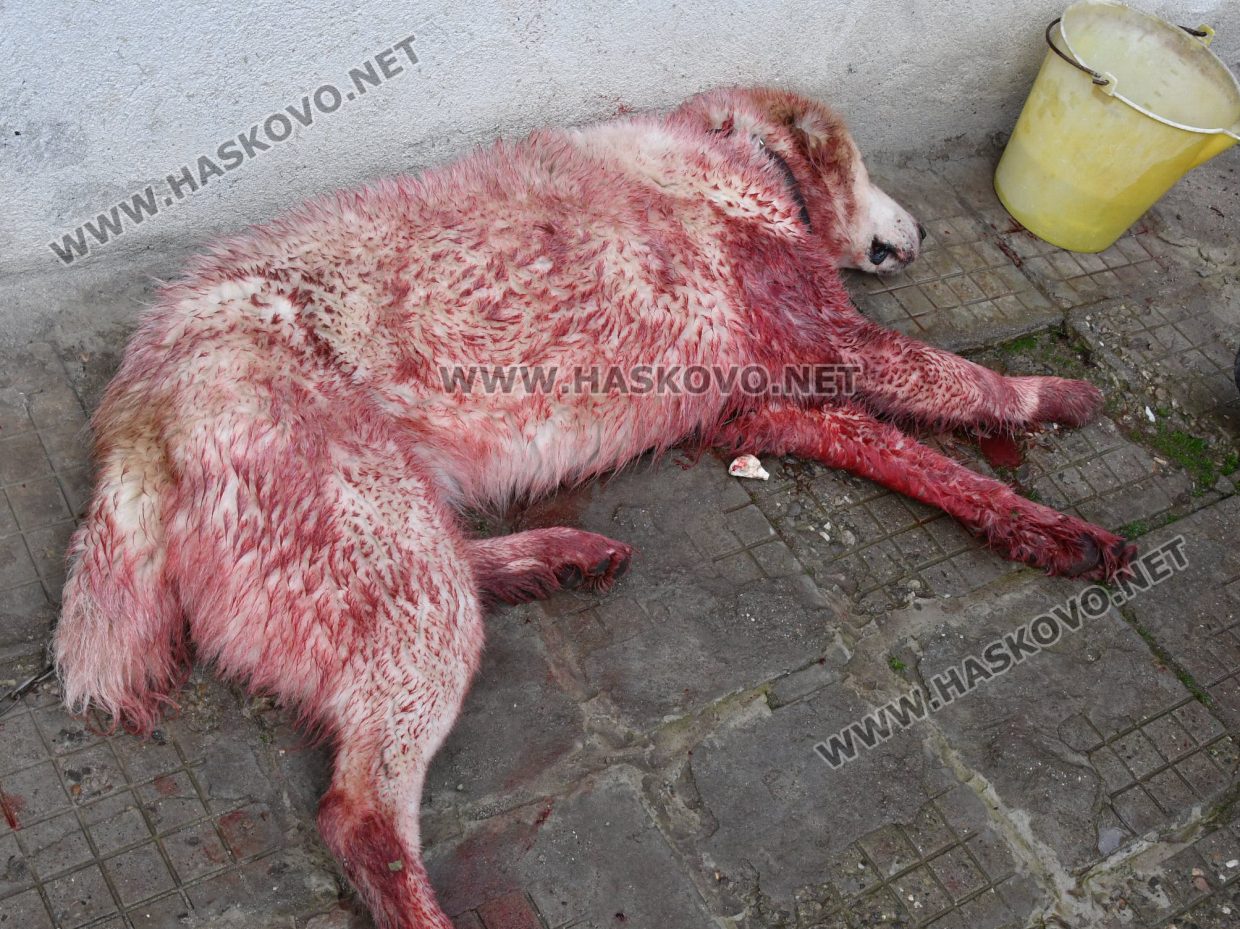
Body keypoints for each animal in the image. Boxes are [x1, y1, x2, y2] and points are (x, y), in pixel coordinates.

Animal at [54, 87, 1135, 928]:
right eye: (865, 166)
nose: (923, 230)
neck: (730, 154)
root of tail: (133, 426)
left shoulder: (758, 408)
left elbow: (933, 463)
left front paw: (1046, 527)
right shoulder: (833, 338)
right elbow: (962, 380)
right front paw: (1048, 397)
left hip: (401, 536)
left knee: (453, 580)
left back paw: (549, 556)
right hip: (395, 563)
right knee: (361, 819)